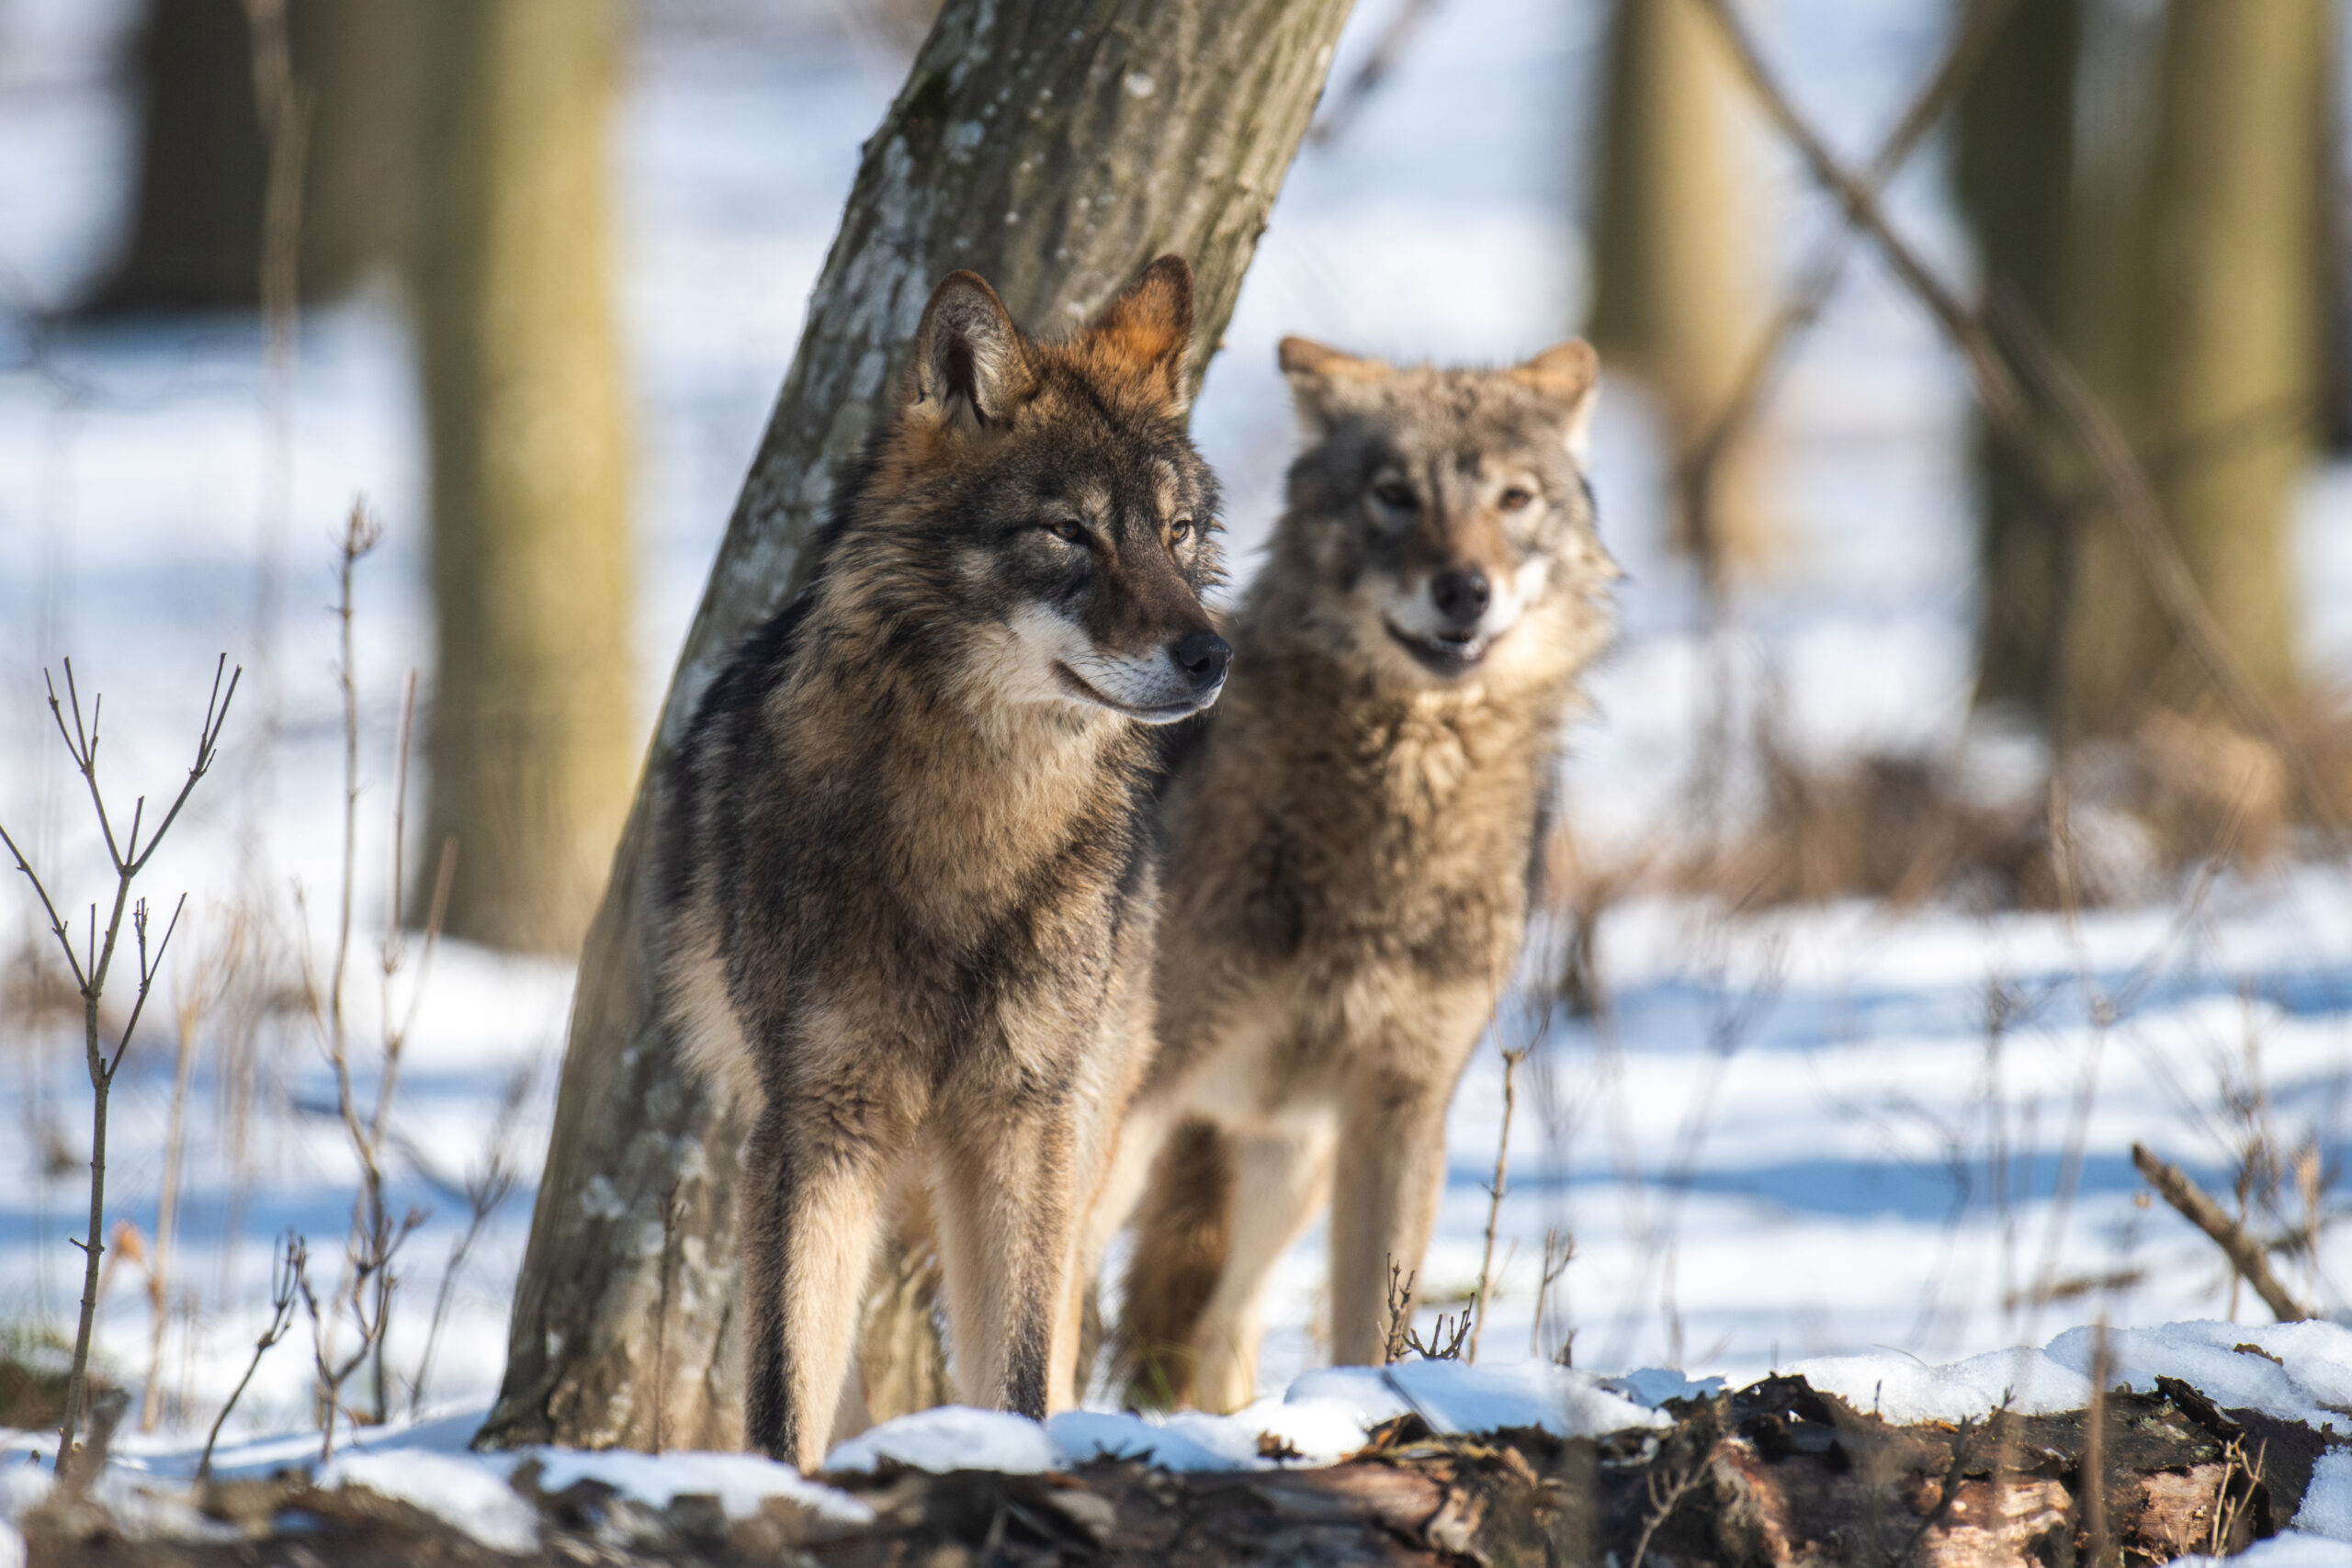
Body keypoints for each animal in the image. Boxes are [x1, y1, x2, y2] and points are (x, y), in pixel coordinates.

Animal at [660, 257, 1230, 1469]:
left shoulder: (1019, 1118)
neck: (974, 822)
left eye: (1175, 531)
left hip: (1078, 1137)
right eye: (1068, 533)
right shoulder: (816, 1121)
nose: (1212, 654)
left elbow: (1014, 1372)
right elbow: (782, 1390)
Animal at [1103, 335, 1615, 1411]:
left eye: (1513, 498)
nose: (1463, 589)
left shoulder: (1400, 1107)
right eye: (1394, 494)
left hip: (1287, 1168)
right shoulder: (1131, 1097)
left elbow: (1371, 1329)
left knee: (1224, 1335)